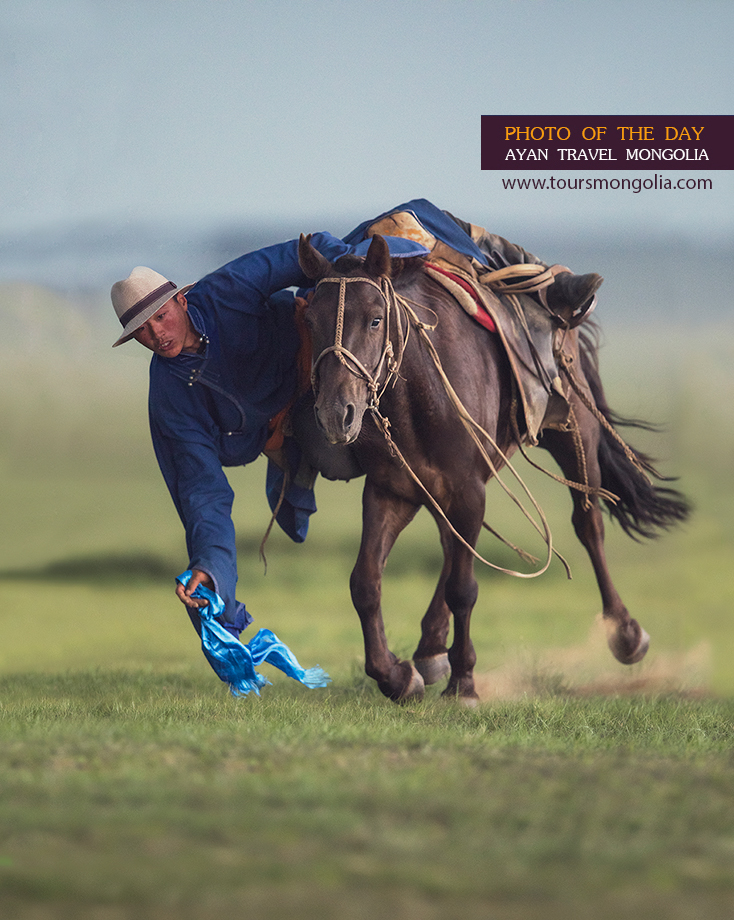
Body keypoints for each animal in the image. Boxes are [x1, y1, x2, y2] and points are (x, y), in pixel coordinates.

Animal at [293, 232, 689, 705]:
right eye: (310, 321)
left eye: (375, 320)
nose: (338, 414)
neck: (421, 395)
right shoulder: (392, 491)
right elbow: (366, 583)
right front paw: (396, 675)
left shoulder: (467, 488)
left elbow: (464, 589)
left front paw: (463, 684)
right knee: (451, 546)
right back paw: (430, 650)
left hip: (575, 435)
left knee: (588, 522)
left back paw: (625, 634)